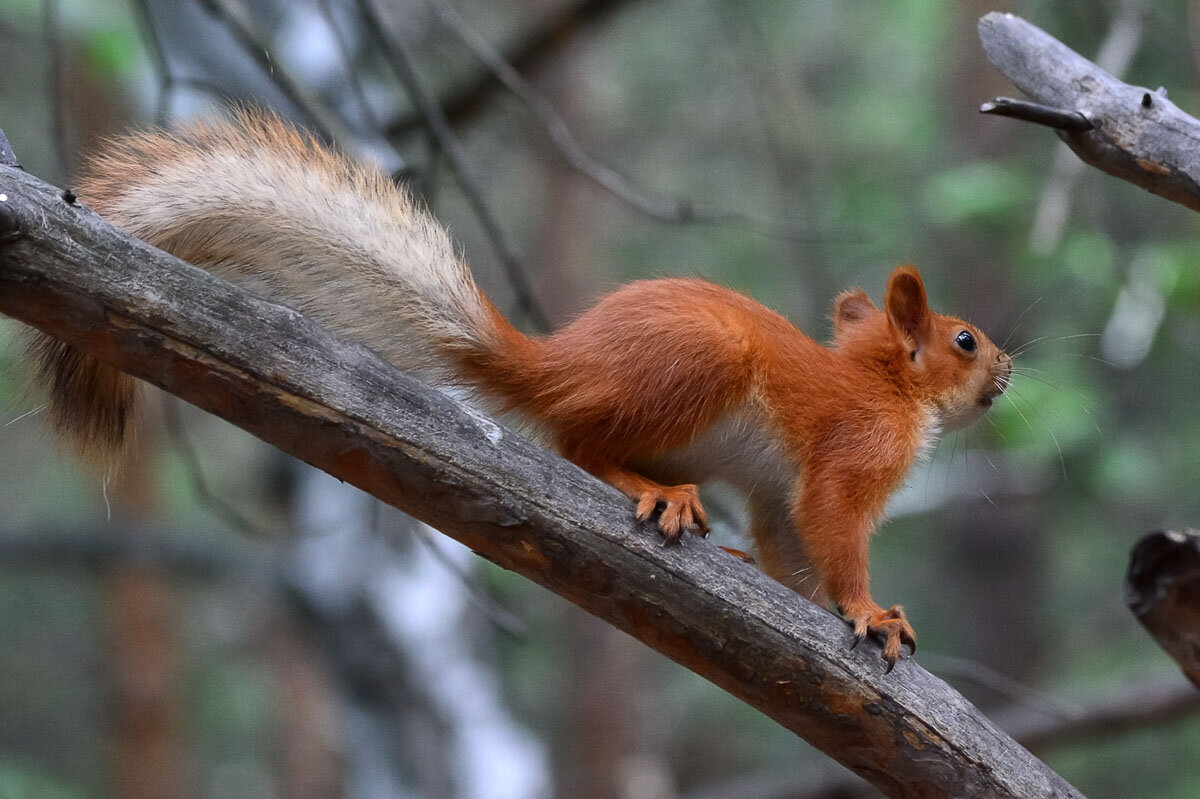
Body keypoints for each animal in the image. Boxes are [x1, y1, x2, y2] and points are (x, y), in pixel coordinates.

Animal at [28, 110, 1012, 667]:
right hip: (699, 367)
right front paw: (870, 610)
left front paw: (813, 601)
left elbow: (792, 550)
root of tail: (560, 363)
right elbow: (835, 530)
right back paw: (654, 490)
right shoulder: (853, 451)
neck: (882, 381)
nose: (1007, 370)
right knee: (580, 445)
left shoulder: (778, 496)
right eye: (965, 339)